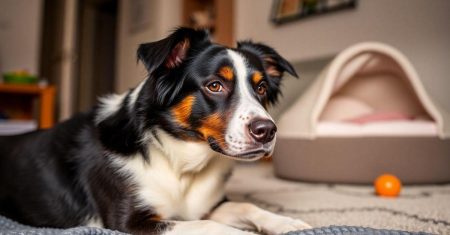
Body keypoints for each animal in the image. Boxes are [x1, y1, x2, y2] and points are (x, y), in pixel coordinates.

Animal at [0, 28, 310, 235]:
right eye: (215, 85)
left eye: (261, 88)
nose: (267, 131)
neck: (180, 164)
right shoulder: (130, 221)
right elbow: (207, 225)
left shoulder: (210, 203)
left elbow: (245, 207)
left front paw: (288, 222)